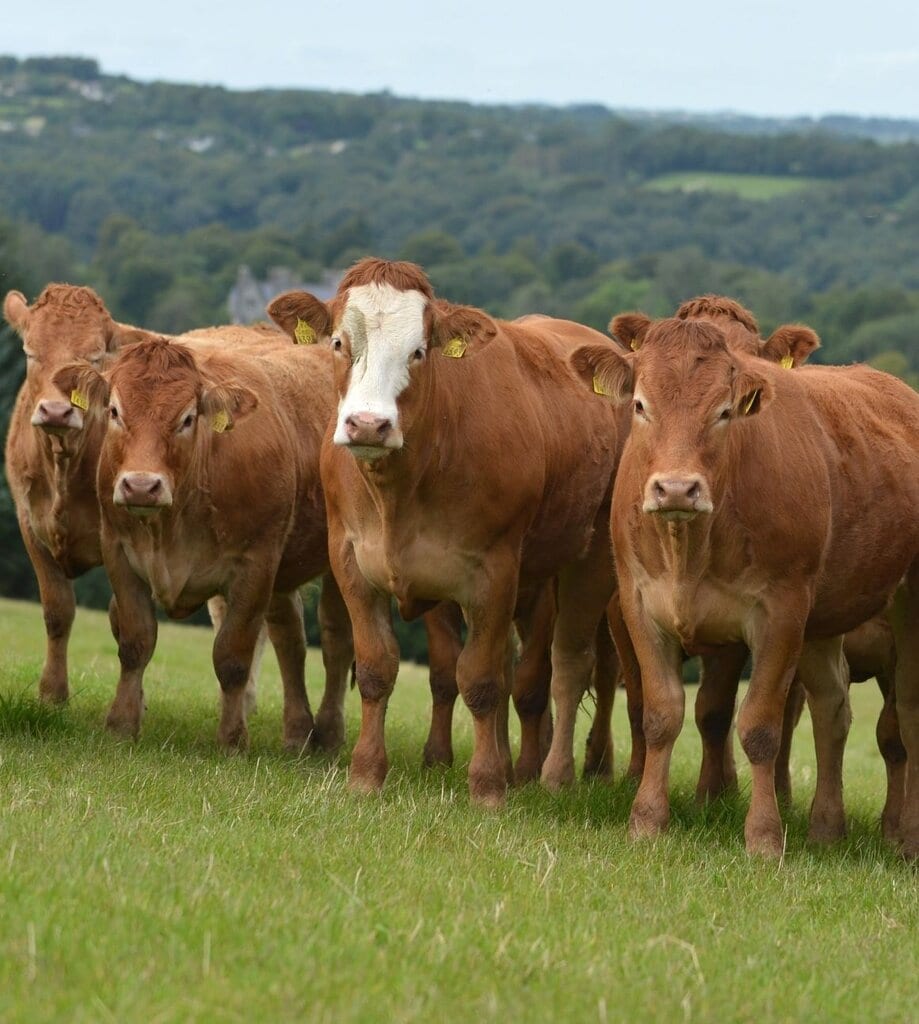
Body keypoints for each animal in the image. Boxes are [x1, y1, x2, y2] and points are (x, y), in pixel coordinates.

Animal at [268, 258, 628, 806]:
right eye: (338, 343)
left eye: (418, 351)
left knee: (565, 666)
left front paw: (487, 787)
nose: (368, 425)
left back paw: (550, 773)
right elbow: (385, 671)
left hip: (586, 564)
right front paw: (370, 773)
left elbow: (479, 680)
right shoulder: (357, 563)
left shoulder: (494, 573)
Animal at [571, 315, 919, 857]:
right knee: (832, 706)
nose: (676, 488)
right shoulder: (639, 606)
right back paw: (826, 827)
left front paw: (763, 837)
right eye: (640, 405)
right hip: (823, 623)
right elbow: (660, 716)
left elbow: (758, 726)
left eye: (725, 411)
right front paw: (646, 821)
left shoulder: (780, 614)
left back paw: (906, 836)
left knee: (908, 711)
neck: (690, 548)